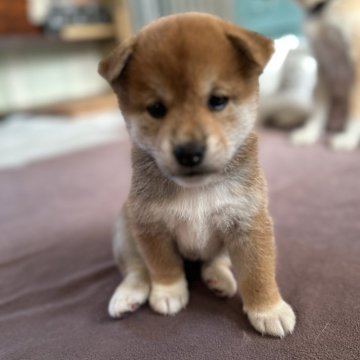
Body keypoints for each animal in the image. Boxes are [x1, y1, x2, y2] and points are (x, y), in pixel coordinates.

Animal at [98, 11, 296, 338]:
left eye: (217, 100)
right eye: (156, 109)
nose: (189, 152)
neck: (196, 190)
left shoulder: (248, 223)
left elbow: (258, 273)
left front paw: (268, 309)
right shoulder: (150, 225)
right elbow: (162, 265)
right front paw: (168, 292)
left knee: (214, 261)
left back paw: (220, 279)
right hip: (125, 231)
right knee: (137, 270)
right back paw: (127, 295)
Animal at [292, 0, 360, 149]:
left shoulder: (357, 66)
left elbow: (354, 107)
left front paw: (349, 138)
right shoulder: (322, 65)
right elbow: (319, 107)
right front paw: (310, 132)